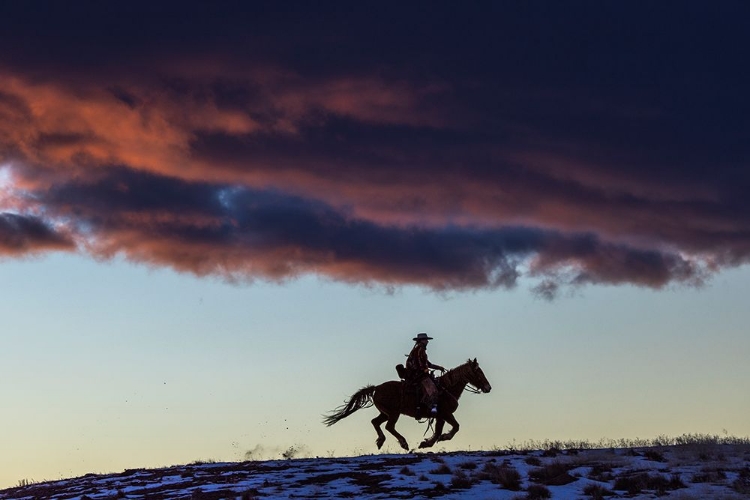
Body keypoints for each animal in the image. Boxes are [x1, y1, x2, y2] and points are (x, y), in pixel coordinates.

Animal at [324, 360, 494, 450]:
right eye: (479, 372)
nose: (488, 387)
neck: (446, 387)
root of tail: (376, 388)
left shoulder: (440, 416)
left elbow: (439, 430)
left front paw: (427, 443)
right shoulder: (445, 414)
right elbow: (455, 427)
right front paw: (441, 438)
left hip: (385, 413)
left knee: (375, 422)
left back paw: (381, 441)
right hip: (393, 413)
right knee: (389, 426)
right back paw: (403, 443)